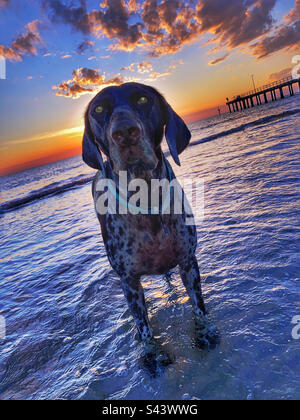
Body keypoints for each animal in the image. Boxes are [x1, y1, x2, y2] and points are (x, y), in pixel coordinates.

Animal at [82, 82, 218, 364]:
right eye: (98, 109)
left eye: (143, 99)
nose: (124, 132)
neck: (145, 193)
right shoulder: (129, 280)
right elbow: (143, 326)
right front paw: (153, 354)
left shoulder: (188, 261)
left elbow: (198, 307)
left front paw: (205, 333)